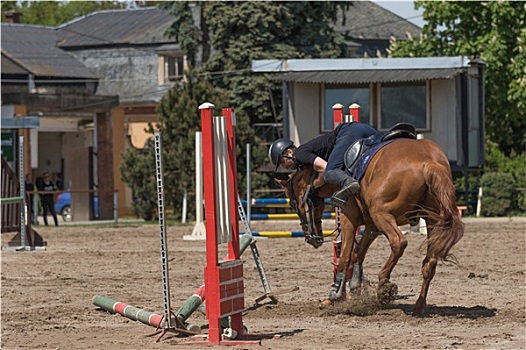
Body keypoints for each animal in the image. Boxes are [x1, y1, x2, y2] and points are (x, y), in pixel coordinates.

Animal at [276, 137, 466, 314]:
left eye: (292, 203)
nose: (311, 239)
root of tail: (429, 161)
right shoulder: (372, 226)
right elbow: (358, 252)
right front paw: (354, 286)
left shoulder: (349, 218)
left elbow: (345, 256)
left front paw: (335, 294)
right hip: (432, 220)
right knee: (430, 262)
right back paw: (418, 306)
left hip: (382, 214)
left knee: (399, 243)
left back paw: (384, 284)